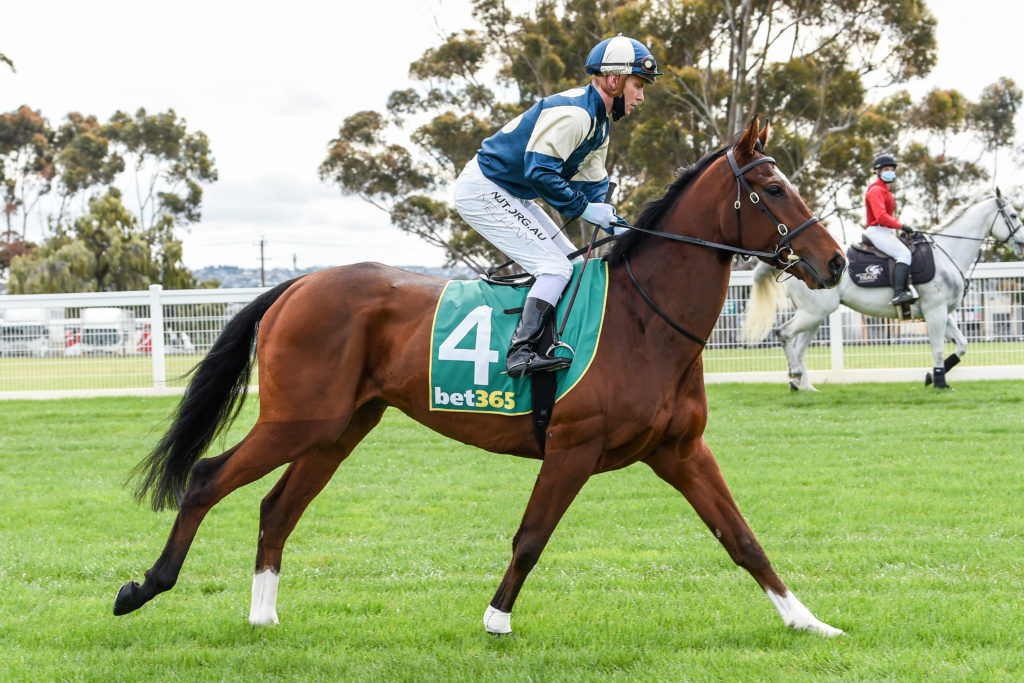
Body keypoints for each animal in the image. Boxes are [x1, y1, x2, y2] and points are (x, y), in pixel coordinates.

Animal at [113, 117, 848, 637]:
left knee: (276, 507)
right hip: (299, 419)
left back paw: (263, 615)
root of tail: (296, 285)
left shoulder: (680, 450)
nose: (837, 261)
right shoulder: (573, 446)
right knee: (206, 478)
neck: (645, 320)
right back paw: (144, 586)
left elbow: (742, 538)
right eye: (774, 189)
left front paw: (807, 620)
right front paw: (496, 620)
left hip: (338, 428)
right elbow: (531, 537)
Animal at [742, 190, 1024, 390]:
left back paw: (803, 385)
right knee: (784, 334)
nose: (1022, 243)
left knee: (798, 347)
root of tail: (796, 262)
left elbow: (962, 345)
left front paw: (931, 377)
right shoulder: (935, 312)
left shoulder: (944, 312)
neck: (946, 252)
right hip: (813, 314)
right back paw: (796, 377)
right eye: (1012, 215)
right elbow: (938, 348)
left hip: (816, 317)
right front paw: (940, 381)